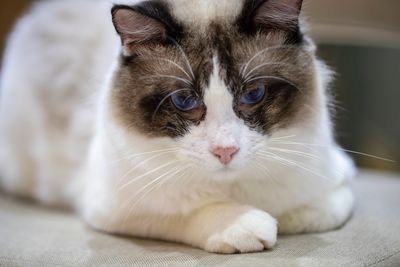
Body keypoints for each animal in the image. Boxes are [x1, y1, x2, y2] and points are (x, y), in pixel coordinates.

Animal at [0, 0, 356, 254]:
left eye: (253, 94)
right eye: (184, 101)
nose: (225, 151)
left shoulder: (337, 184)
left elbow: (310, 212)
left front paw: (277, 218)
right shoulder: (113, 208)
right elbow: (191, 212)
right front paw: (248, 224)